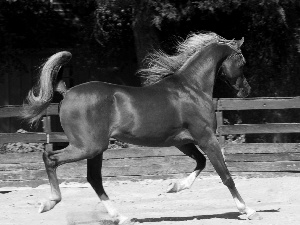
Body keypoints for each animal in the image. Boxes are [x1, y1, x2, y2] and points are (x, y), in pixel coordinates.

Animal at [21, 32, 260, 224]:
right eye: (242, 61)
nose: (246, 90)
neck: (192, 89)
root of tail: (67, 92)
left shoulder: (182, 142)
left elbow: (200, 162)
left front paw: (174, 187)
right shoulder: (206, 138)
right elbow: (225, 175)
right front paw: (247, 210)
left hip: (96, 149)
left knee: (94, 179)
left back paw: (121, 217)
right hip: (87, 147)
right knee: (50, 158)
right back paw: (49, 203)